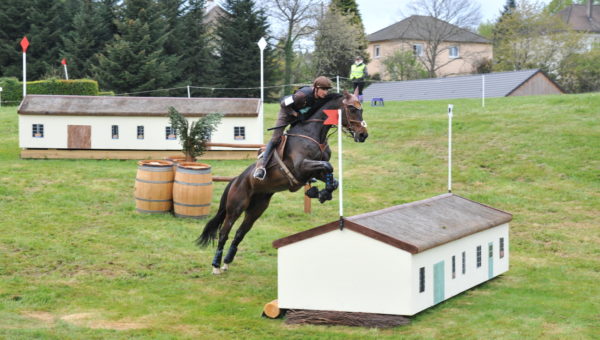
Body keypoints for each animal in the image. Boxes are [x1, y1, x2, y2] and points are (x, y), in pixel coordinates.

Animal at [195, 89, 368, 274]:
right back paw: (216, 265)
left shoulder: (314, 171)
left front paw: (320, 193)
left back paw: (227, 262)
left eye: (361, 109)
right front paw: (319, 192)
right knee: (224, 233)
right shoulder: (301, 167)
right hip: (235, 208)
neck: (313, 133)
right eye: (352, 109)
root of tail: (235, 180)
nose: (363, 135)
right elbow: (328, 166)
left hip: (256, 210)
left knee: (240, 233)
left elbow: (332, 178)